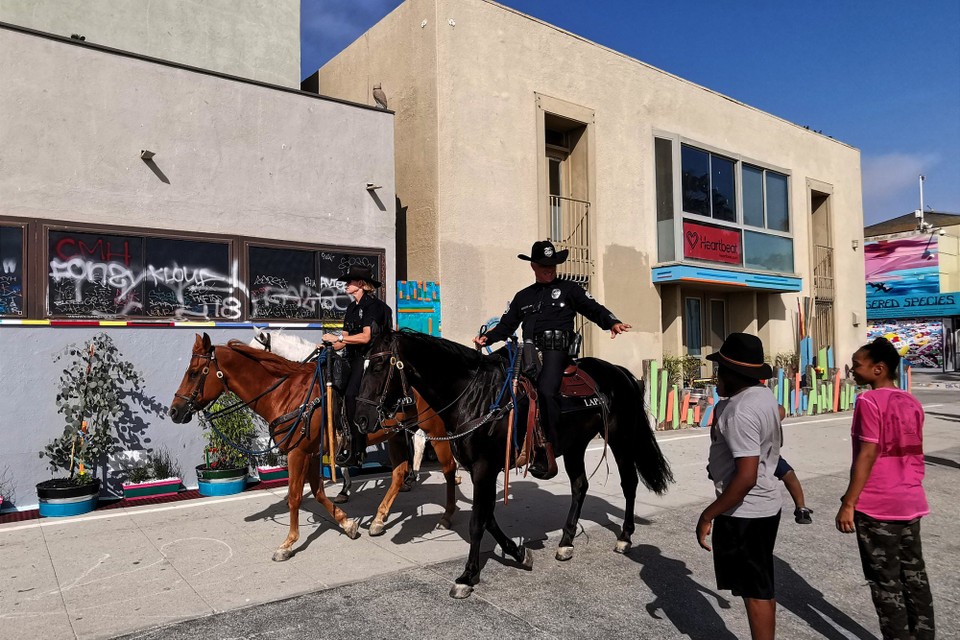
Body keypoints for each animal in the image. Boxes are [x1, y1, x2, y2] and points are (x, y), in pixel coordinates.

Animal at [354, 330, 676, 600]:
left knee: (628, 483)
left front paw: (468, 576)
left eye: (379, 366)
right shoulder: (481, 470)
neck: (475, 397)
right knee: (580, 486)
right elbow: (488, 517)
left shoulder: (484, 468)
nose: (361, 420)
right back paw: (566, 542)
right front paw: (519, 554)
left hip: (621, 440)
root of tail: (619, 372)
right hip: (575, 445)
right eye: (364, 364)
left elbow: (477, 522)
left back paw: (624, 537)